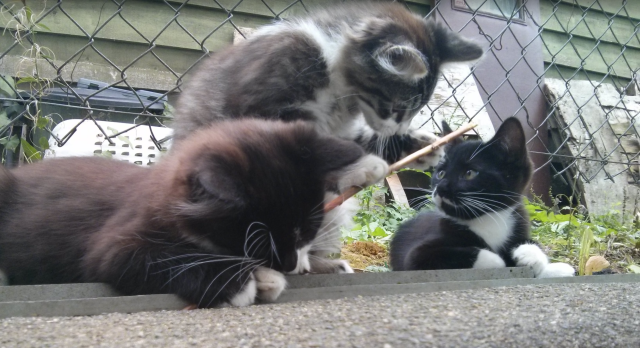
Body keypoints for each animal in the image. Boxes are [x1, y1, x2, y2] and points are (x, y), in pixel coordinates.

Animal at [0, 119, 388, 308]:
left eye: (307, 230)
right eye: (259, 244)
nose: (290, 264)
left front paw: (364, 164)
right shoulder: (114, 244)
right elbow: (172, 256)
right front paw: (241, 282)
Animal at [390, 118, 576, 278]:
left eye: (470, 173)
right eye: (440, 173)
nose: (440, 188)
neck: (487, 218)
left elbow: (531, 243)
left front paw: (535, 258)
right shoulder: (416, 256)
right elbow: (464, 254)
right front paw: (498, 260)